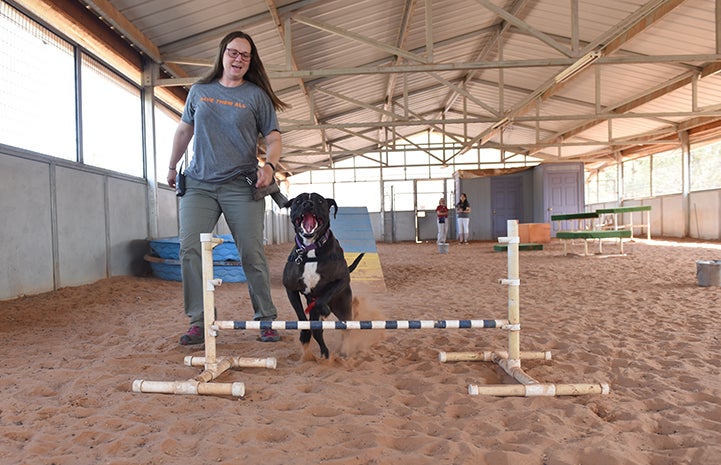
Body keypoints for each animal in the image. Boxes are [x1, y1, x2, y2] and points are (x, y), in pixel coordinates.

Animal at [280, 192, 362, 358]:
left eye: (319, 201)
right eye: (298, 201)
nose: (308, 204)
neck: (310, 248)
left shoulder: (342, 280)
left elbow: (322, 300)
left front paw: (324, 310)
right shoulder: (290, 289)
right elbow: (301, 316)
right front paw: (305, 335)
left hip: (343, 307)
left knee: (346, 329)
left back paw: (343, 351)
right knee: (318, 331)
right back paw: (324, 353)